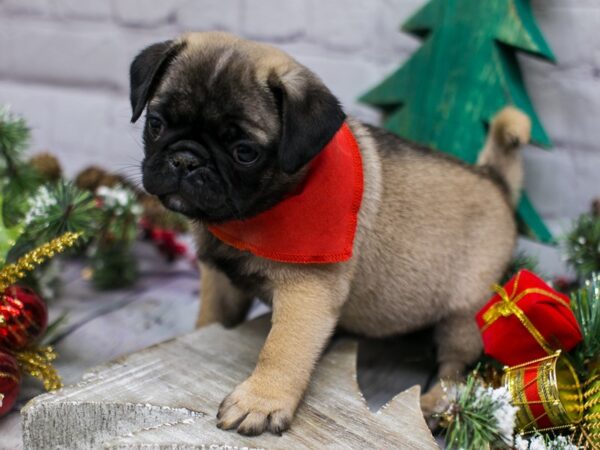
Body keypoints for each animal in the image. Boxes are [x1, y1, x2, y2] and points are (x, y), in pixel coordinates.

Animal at [131, 31, 528, 436]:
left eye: (245, 152)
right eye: (156, 124)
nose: (186, 160)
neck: (246, 221)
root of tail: (494, 180)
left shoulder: (306, 292)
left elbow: (281, 348)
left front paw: (260, 400)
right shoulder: (220, 281)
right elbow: (211, 319)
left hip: (464, 314)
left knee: (456, 370)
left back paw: (434, 404)